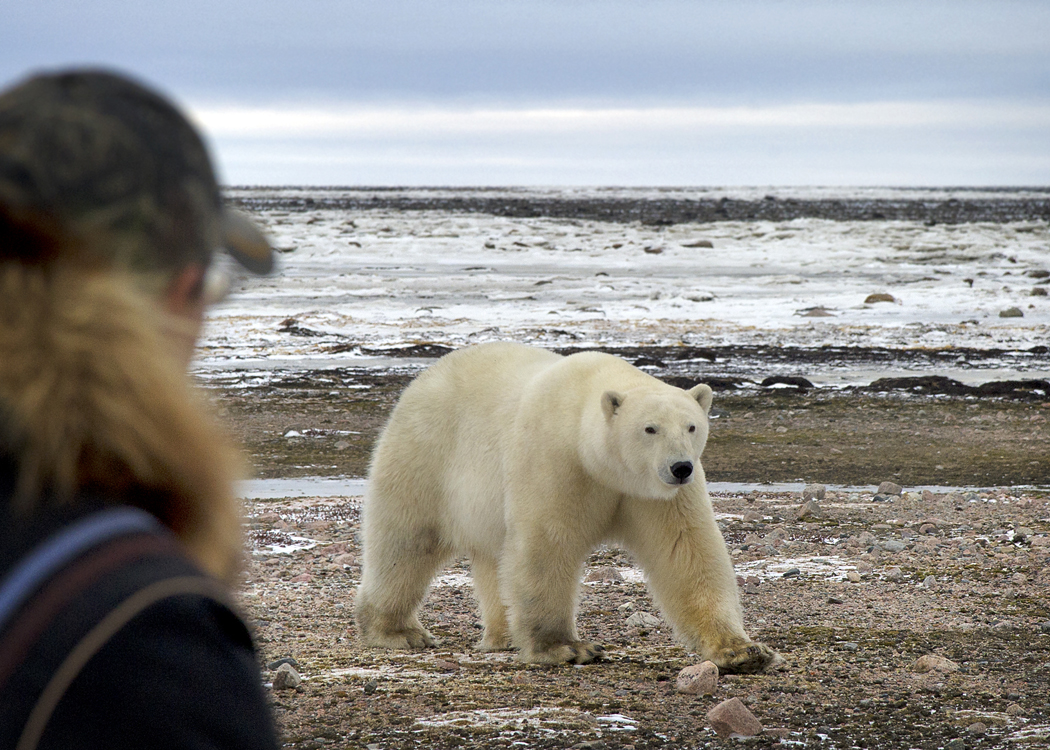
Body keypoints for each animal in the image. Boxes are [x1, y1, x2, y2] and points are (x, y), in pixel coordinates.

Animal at [356, 342, 776, 668]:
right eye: (650, 428)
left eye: (691, 426)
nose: (680, 467)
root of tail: (421, 380)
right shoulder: (556, 462)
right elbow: (547, 544)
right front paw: (567, 647)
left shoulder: (656, 495)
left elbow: (686, 551)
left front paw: (743, 651)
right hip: (426, 456)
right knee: (405, 543)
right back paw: (398, 631)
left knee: (492, 558)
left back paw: (503, 636)